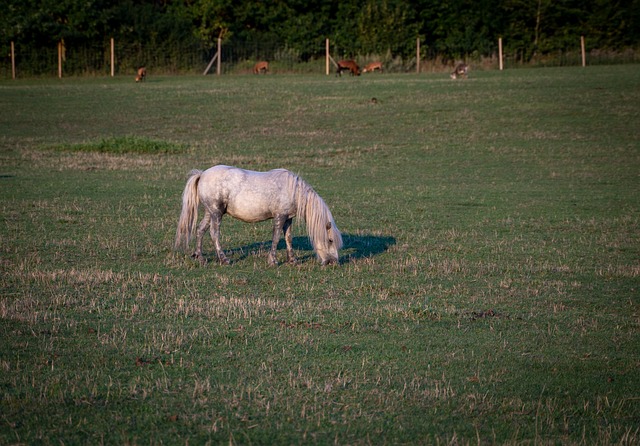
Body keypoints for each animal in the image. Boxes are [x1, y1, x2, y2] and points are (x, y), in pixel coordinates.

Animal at [175, 166, 342, 266]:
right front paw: (272, 260)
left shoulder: (288, 218)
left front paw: (292, 260)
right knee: (214, 233)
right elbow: (276, 237)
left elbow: (288, 238)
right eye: (330, 240)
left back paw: (200, 257)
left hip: (210, 212)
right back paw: (224, 259)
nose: (333, 262)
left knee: (200, 230)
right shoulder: (280, 217)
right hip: (216, 213)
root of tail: (202, 174)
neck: (294, 190)